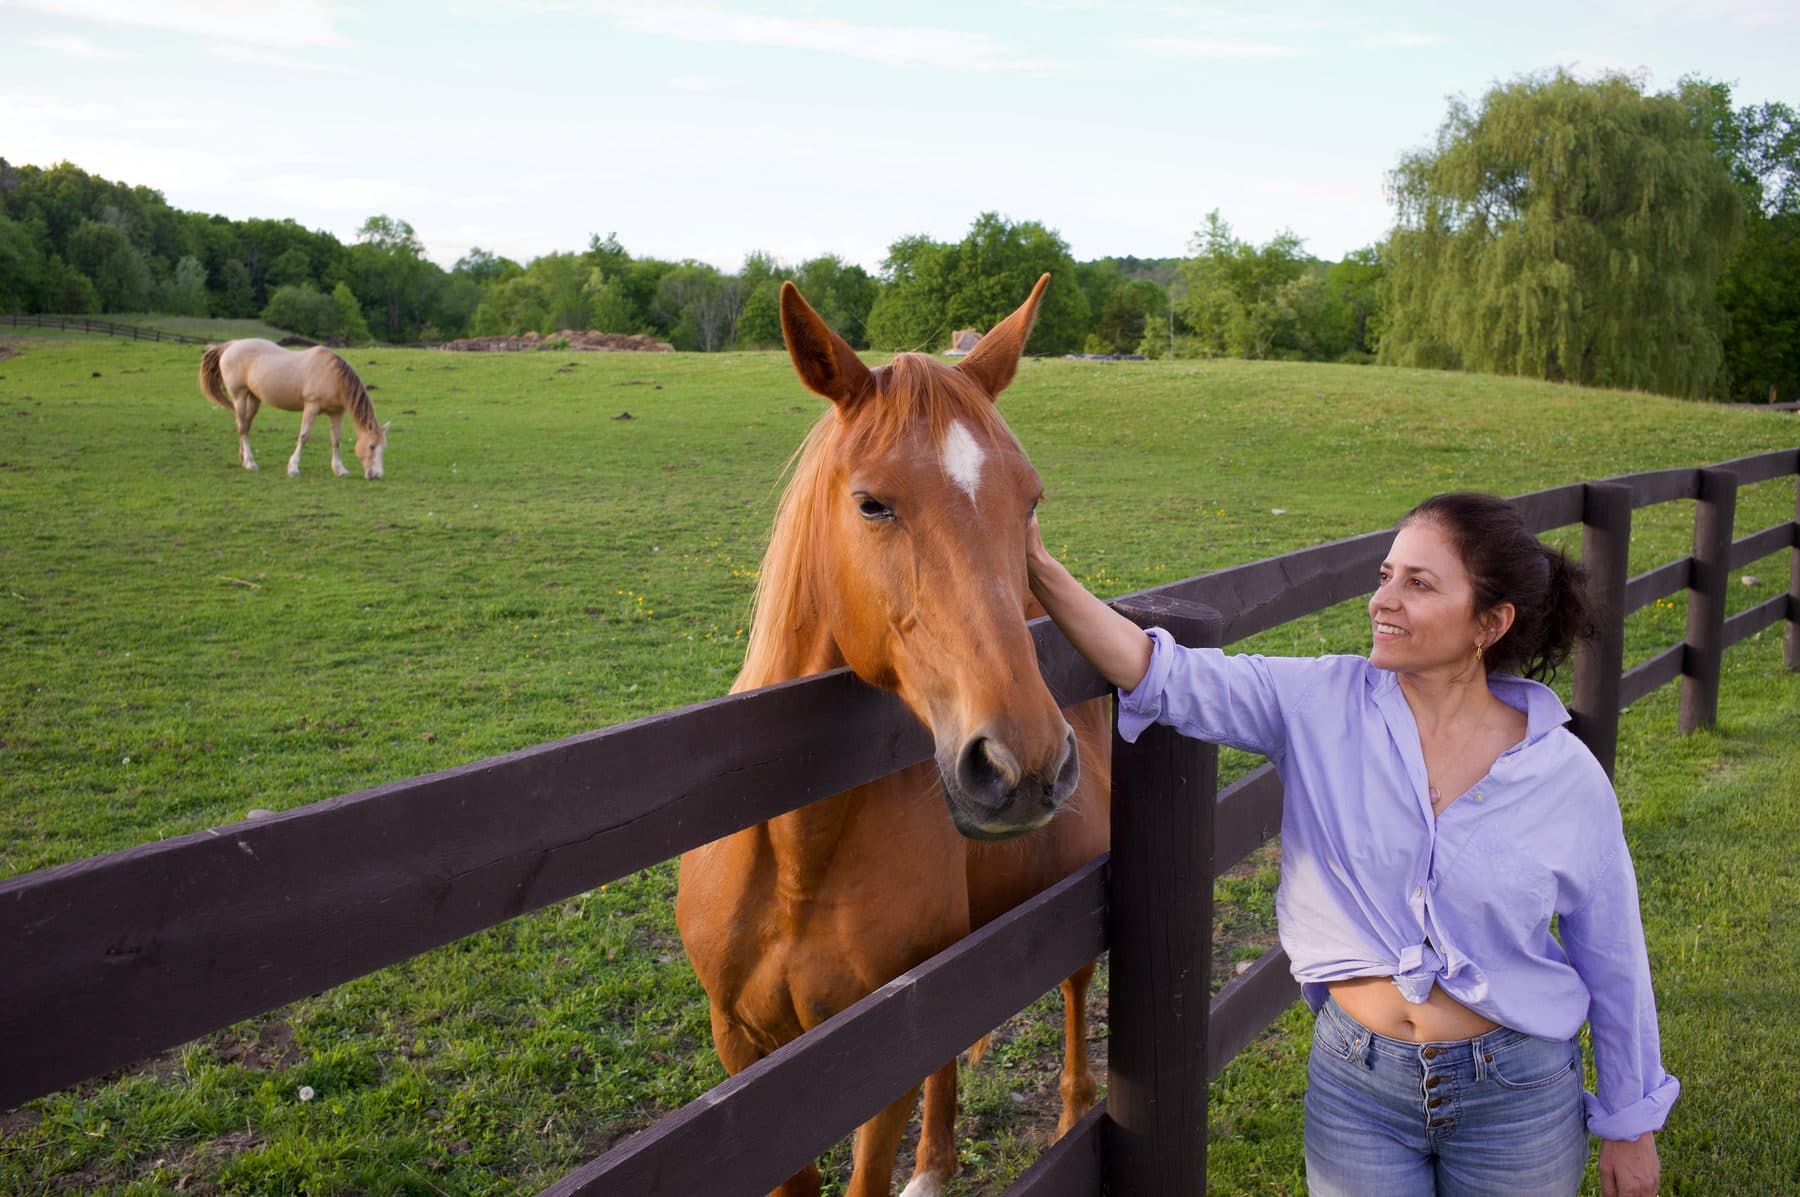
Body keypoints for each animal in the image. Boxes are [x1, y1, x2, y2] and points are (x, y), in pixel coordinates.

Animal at [199, 338, 387, 479]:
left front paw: (339, 469)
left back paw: (243, 459)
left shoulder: (336, 412)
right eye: (371, 446)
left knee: (245, 426)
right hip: (239, 395)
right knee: (242, 427)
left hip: (254, 398)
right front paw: (293, 468)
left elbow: (336, 440)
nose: (377, 475)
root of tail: (230, 345)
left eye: (383, 447)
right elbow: (304, 436)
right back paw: (251, 463)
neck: (334, 376)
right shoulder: (311, 406)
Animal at [676, 275, 1111, 1197]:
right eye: (871, 502)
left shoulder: (873, 1065)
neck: (796, 855)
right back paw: (936, 1165)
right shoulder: (744, 1052)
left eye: (1030, 501)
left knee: (1073, 988)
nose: (1022, 761)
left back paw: (1069, 1119)